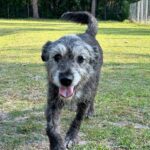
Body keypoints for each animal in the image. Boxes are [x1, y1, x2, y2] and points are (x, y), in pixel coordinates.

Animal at [41, 11, 103, 149]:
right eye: (57, 56)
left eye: (81, 59)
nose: (66, 79)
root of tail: (88, 33)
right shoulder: (53, 101)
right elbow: (51, 127)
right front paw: (57, 145)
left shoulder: (85, 99)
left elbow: (78, 119)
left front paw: (71, 137)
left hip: (95, 83)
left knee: (94, 97)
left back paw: (91, 111)